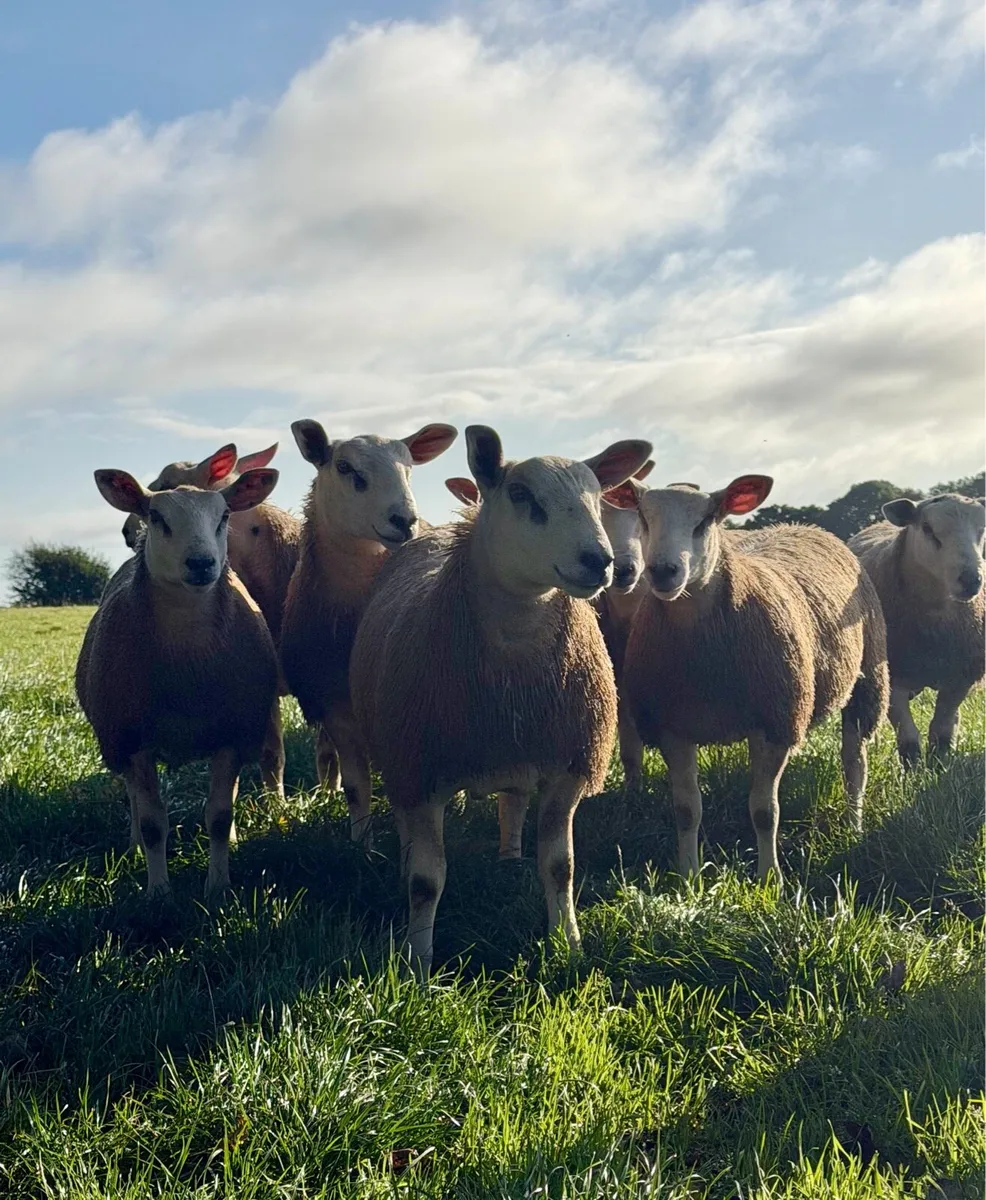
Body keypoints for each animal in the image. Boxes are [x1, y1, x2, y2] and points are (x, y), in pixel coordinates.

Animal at [76, 467, 281, 897]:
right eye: (157, 517)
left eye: (224, 517)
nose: (201, 563)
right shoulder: (133, 739)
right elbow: (154, 823)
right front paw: (159, 893)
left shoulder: (231, 735)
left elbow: (219, 815)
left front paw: (218, 886)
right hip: (118, 738)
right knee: (134, 799)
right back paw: (133, 848)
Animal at [279, 419, 458, 845]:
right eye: (344, 467)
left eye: (409, 469)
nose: (405, 520)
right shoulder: (335, 709)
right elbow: (356, 787)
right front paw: (362, 845)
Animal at [350, 426, 653, 976]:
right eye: (520, 494)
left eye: (597, 496)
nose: (600, 562)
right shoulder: (421, 766)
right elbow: (426, 881)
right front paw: (417, 962)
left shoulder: (566, 765)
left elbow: (560, 867)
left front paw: (567, 944)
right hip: (400, 750)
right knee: (407, 823)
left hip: (519, 747)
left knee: (512, 802)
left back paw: (510, 858)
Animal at [620, 476, 889, 884]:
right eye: (643, 517)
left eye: (707, 520)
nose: (663, 572)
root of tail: (803, 526)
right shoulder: (671, 728)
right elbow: (687, 810)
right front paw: (689, 877)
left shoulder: (776, 723)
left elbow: (764, 811)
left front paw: (769, 879)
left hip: (867, 680)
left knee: (854, 762)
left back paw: (853, 824)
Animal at [848, 493, 985, 766]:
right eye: (928, 528)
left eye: (982, 529)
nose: (971, 580)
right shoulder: (893, 678)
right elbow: (908, 737)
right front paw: (912, 767)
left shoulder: (960, 678)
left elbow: (942, 729)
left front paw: (939, 762)